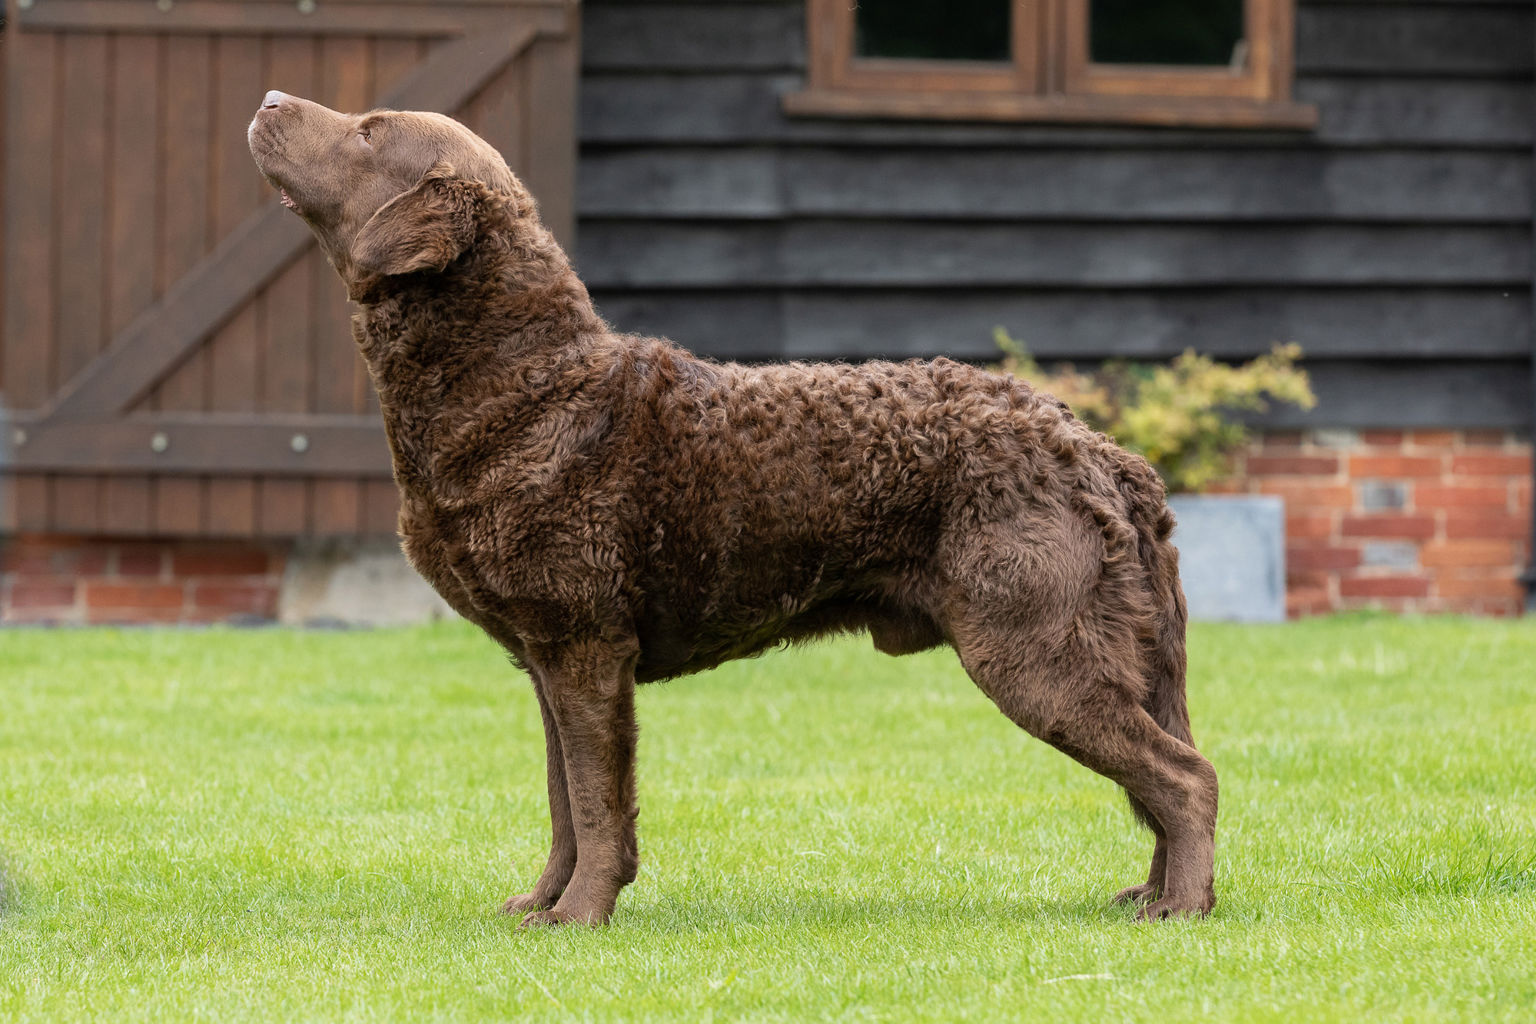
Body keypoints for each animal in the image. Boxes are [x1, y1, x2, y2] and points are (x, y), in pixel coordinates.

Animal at [248, 94, 1210, 927]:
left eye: (367, 132)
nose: (267, 100)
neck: (525, 384)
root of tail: (1101, 450)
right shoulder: (547, 658)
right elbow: (564, 802)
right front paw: (542, 903)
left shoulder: (585, 647)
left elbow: (596, 804)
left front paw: (580, 917)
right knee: (1162, 777)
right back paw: (1151, 892)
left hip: (1034, 645)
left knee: (1185, 776)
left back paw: (1181, 908)